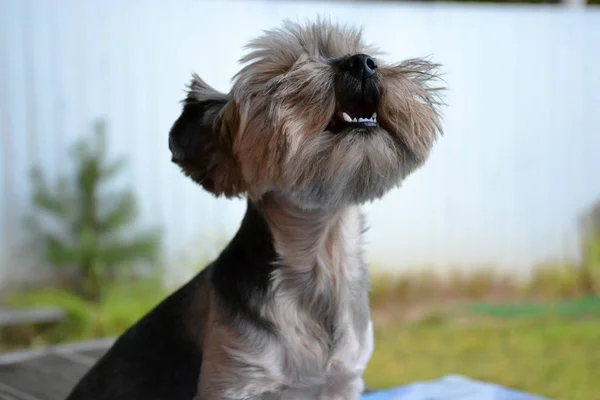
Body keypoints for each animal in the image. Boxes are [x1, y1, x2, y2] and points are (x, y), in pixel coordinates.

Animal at [65, 17, 442, 398]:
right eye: (284, 72)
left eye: (363, 53)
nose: (362, 63)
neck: (322, 254)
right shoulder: (234, 379)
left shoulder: (343, 379)